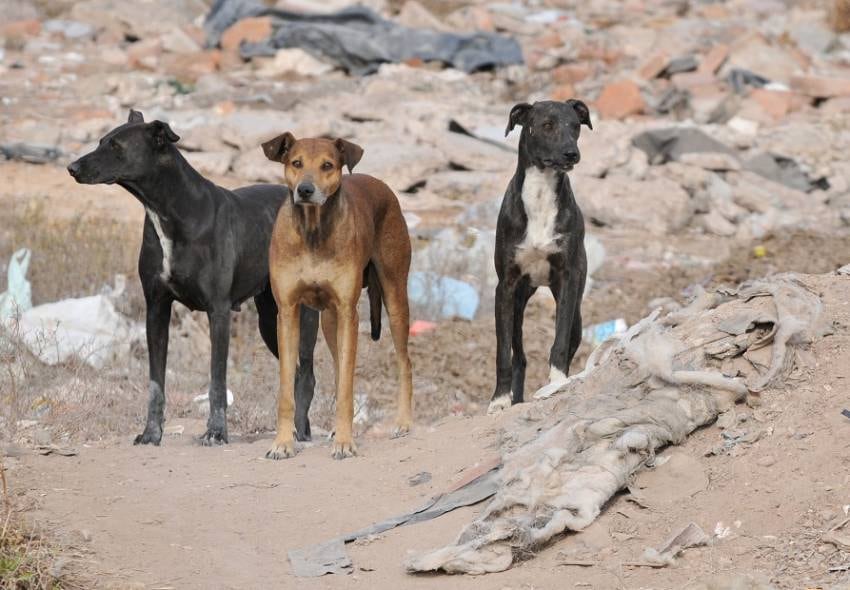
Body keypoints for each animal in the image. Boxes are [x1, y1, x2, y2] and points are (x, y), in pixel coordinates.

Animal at [68, 111, 320, 446]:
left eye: (116, 146)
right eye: (101, 141)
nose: (72, 168)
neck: (169, 209)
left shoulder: (219, 312)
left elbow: (216, 381)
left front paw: (216, 432)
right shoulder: (156, 309)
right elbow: (156, 383)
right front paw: (151, 433)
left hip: (302, 318)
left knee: (306, 376)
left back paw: (301, 432)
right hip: (270, 319)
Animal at [264, 135, 412, 462]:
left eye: (327, 165)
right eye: (296, 163)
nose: (305, 190)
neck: (313, 230)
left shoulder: (348, 312)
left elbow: (346, 389)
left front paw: (345, 442)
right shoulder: (288, 312)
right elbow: (286, 390)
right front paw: (282, 443)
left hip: (395, 297)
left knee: (404, 362)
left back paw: (405, 422)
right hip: (330, 321)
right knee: (337, 364)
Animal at [486, 99, 592, 414]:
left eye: (576, 126)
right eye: (547, 125)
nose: (572, 153)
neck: (541, 195)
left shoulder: (568, 280)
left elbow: (559, 343)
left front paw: (556, 384)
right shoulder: (505, 288)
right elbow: (502, 354)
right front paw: (499, 400)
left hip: (576, 308)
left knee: (569, 340)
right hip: (518, 303)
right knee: (518, 356)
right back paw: (515, 398)